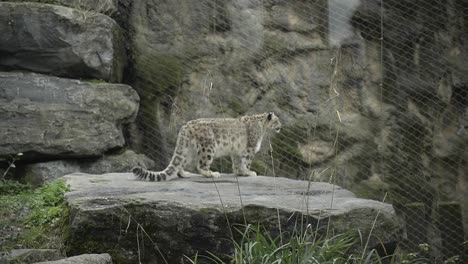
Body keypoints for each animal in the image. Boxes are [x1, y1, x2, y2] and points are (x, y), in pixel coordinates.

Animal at [133, 111, 284, 182]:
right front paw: (248, 172)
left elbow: (237, 163)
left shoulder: (236, 151)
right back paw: (212, 173)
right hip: (208, 147)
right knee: (201, 165)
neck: (262, 129)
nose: (281, 126)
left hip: (188, 149)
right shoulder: (250, 149)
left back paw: (185, 173)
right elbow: (245, 162)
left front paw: (240, 172)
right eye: (277, 120)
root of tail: (186, 126)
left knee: (181, 162)